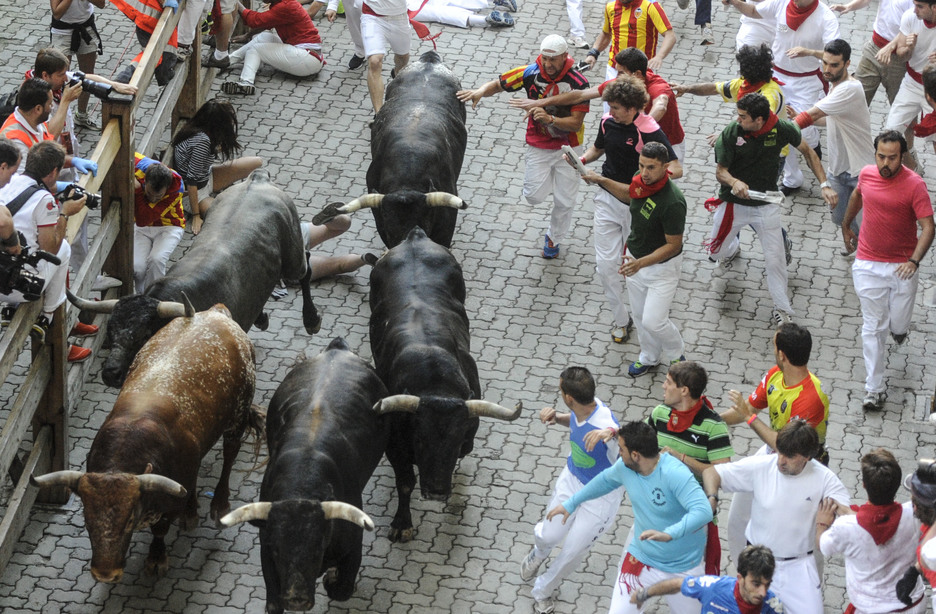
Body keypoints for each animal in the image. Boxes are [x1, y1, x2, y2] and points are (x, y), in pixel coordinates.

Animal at [32, 306, 262, 584]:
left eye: (130, 518)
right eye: (87, 518)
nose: (104, 574)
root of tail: (216, 312)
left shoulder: (169, 503)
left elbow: (160, 529)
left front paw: (156, 559)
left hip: (238, 415)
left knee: (230, 454)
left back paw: (219, 504)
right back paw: (191, 512)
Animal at [69, 171, 322, 388]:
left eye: (143, 335)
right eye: (110, 331)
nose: (111, 373)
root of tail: (257, 179)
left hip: (292, 257)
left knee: (306, 267)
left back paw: (311, 319)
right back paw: (261, 317)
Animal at [221, 336, 386, 614]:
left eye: (317, 547)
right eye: (278, 550)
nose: (296, 598)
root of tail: (336, 349)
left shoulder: (354, 543)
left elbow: (342, 589)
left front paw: (332, 577)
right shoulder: (266, 551)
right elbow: (274, 602)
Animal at [370, 227, 524, 544]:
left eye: (454, 441)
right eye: (420, 438)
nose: (437, 492)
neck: (435, 380)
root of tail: (415, 236)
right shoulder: (395, 446)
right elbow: (405, 482)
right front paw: (402, 523)